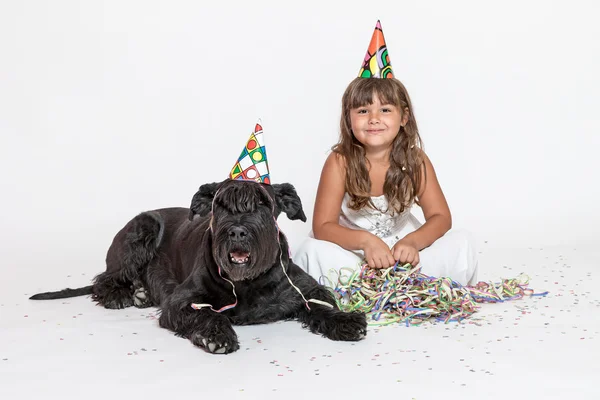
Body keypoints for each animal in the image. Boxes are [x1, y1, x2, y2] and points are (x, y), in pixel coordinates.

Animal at [34, 179, 370, 354]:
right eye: (220, 205)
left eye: (263, 203)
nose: (237, 231)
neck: (246, 283)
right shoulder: (181, 301)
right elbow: (206, 312)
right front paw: (216, 335)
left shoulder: (305, 288)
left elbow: (323, 304)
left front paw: (344, 321)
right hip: (142, 228)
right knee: (105, 278)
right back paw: (121, 295)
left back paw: (141, 293)